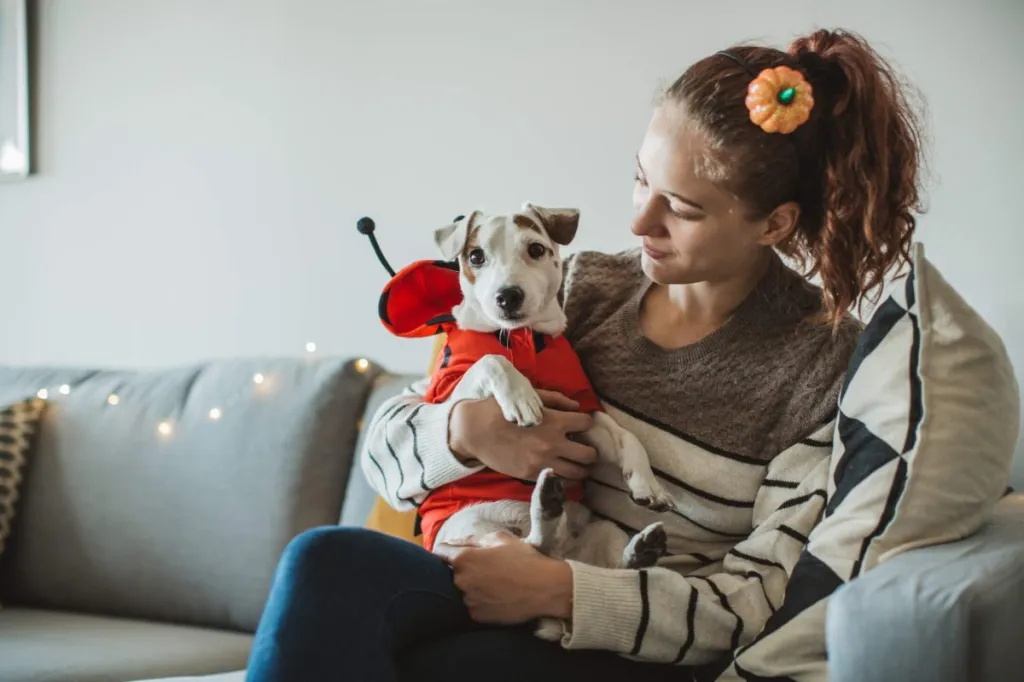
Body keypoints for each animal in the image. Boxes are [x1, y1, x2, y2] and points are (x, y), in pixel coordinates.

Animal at [376, 201, 671, 638]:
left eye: (535, 249)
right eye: (475, 256)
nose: (507, 295)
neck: (523, 338)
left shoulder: (583, 414)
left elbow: (625, 437)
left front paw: (647, 483)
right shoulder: (449, 394)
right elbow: (490, 359)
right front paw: (521, 396)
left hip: (601, 530)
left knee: (597, 567)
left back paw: (633, 547)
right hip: (474, 529)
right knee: (531, 546)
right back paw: (546, 505)